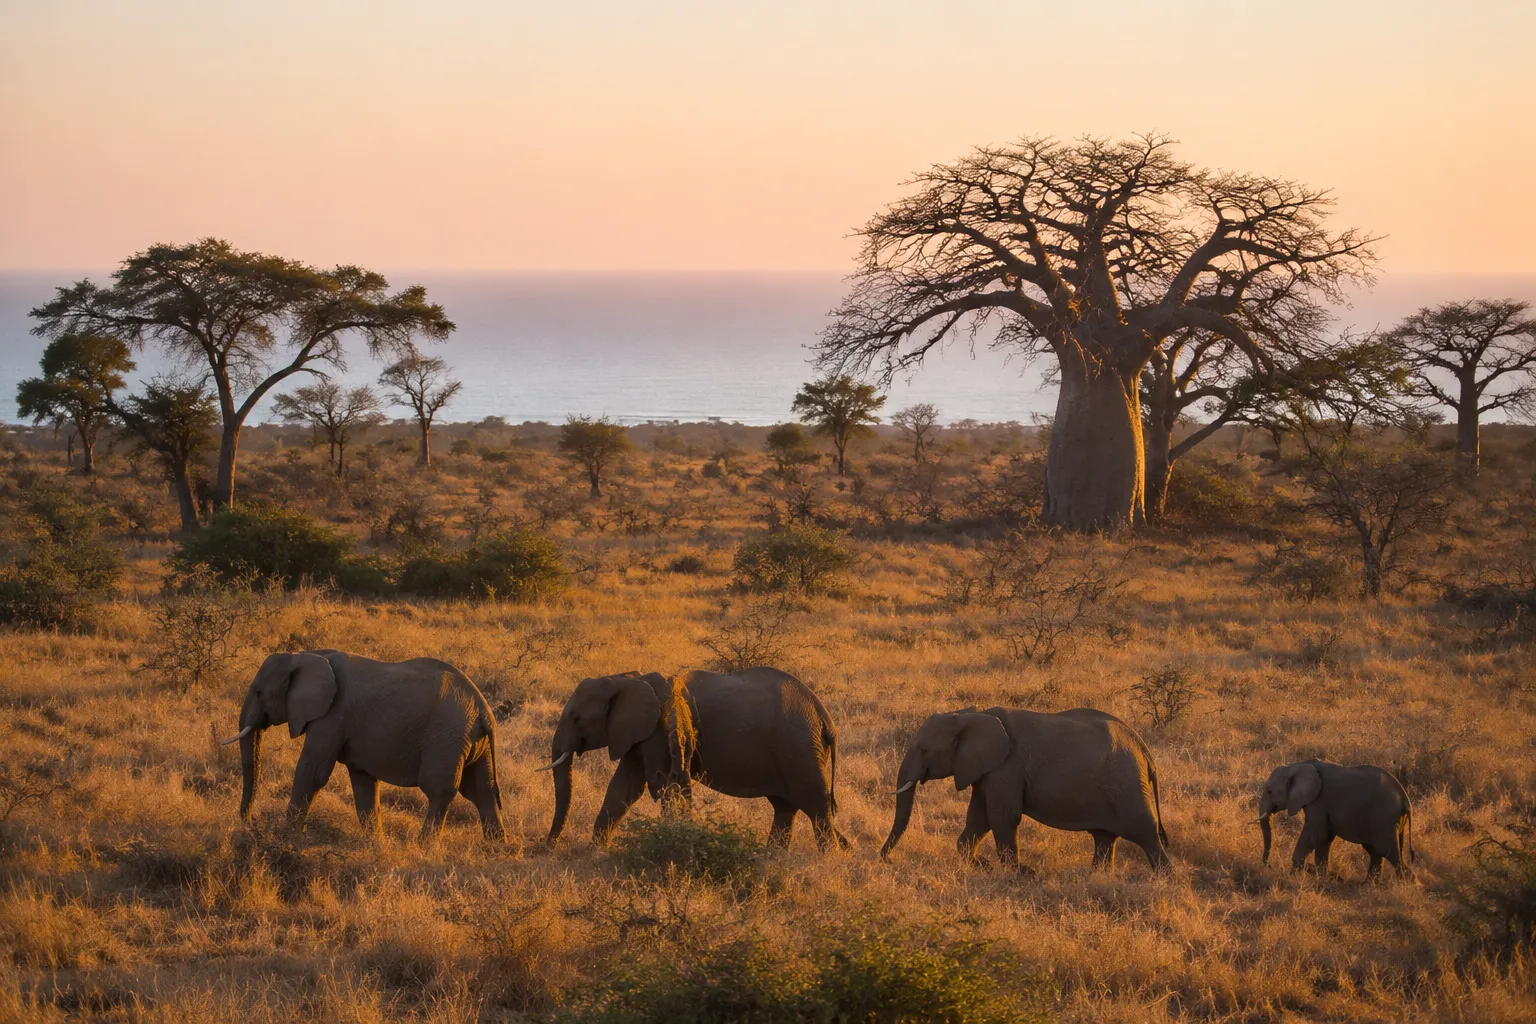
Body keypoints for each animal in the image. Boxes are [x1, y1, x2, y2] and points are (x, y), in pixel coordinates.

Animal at [222, 650, 504, 841]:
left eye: (259, 692)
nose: (253, 820)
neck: (304, 655)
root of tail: (483, 709)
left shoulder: (333, 715)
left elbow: (313, 773)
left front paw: (286, 837)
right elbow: (364, 781)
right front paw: (375, 844)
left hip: (446, 737)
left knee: (439, 790)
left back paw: (424, 847)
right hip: (469, 740)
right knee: (483, 790)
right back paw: (496, 849)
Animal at [542, 667, 848, 850]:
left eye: (576, 718)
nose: (549, 845)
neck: (626, 678)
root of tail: (825, 717)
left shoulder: (658, 729)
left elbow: (661, 785)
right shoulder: (639, 733)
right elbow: (623, 789)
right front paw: (595, 852)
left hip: (800, 750)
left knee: (816, 808)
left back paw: (829, 859)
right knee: (786, 808)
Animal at [882, 706, 1169, 872]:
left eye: (924, 750)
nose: (886, 860)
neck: (967, 715)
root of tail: (1143, 748)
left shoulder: (1007, 769)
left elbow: (1002, 817)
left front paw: (1021, 874)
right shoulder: (986, 771)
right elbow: (978, 818)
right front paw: (982, 867)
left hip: (1126, 783)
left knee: (1145, 832)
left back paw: (1163, 878)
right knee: (1104, 837)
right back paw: (1097, 877)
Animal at [1257, 760, 1414, 879]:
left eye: (1270, 791)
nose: (1269, 866)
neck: (1296, 765)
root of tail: (1406, 801)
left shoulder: (1319, 801)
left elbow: (1316, 834)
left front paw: (1294, 876)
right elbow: (1324, 839)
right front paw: (1323, 878)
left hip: (1383, 819)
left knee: (1388, 851)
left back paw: (1405, 884)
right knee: (1376, 852)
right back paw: (1368, 886)